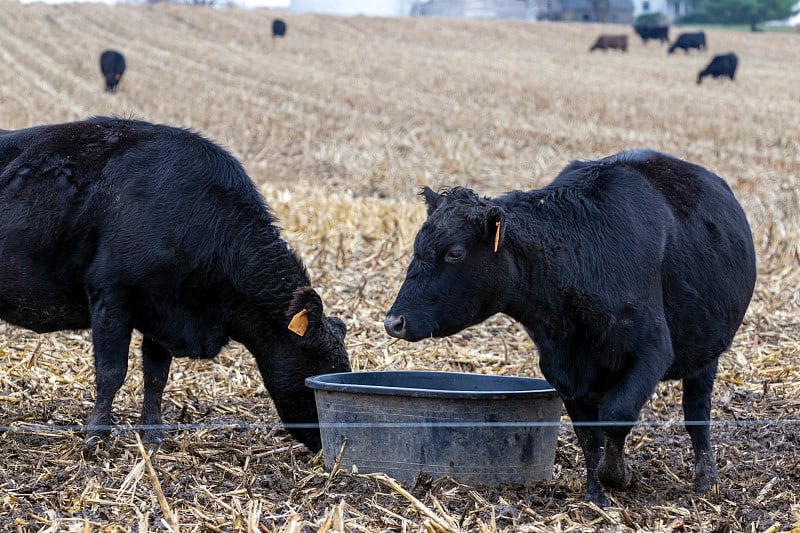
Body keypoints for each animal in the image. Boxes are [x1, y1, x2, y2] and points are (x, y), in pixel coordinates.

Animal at [0, 116, 350, 448]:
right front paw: (96, 435)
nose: (328, 440)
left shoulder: (162, 314)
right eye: (319, 366)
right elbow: (111, 373)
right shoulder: (111, 298)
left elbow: (156, 377)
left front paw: (153, 435)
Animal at [386, 149, 756, 502]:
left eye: (455, 253)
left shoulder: (652, 350)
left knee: (697, 413)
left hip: (706, 356)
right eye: (417, 247)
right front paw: (596, 494)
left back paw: (707, 480)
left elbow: (617, 415)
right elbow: (588, 434)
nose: (394, 321)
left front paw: (618, 475)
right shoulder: (562, 369)